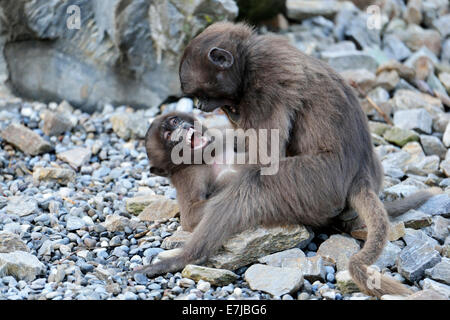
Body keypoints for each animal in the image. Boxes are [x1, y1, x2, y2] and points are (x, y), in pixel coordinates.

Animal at [133, 21, 436, 298]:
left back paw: (184, 258)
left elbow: (263, 160)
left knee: (252, 187)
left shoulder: (263, 86)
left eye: (199, 95)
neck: (249, 57)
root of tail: (360, 175)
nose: (197, 107)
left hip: (319, 184)